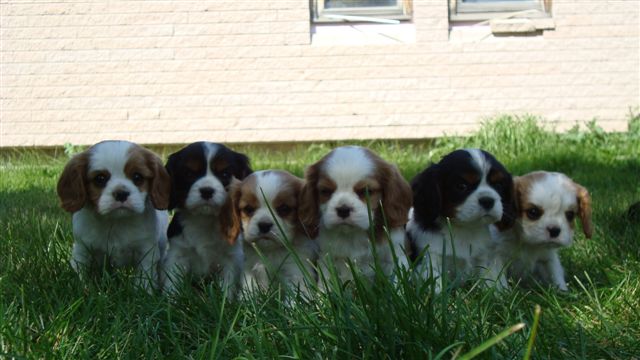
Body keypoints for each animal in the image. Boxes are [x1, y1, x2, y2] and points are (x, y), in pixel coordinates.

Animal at [56, 140, 171, 290]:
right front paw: (83, 288)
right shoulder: (82, 249)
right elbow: (80, 272)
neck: (116, 221)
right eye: (100, 179)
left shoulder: (146, 251)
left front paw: (144, 292)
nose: (121, 194)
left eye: (137, 177)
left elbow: (144, 277)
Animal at [161, 142, 251, 294]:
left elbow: (227, 285)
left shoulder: (232, 258)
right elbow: (171, 283)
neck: (204, 219)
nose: (207, 191)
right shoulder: (177, 253)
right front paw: (169, 299)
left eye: (225, 174)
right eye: (189, 173)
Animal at [298, 145, 412, 286]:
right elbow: (327, 285)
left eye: (366, 191)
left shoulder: (395, 255)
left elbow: (398, 282)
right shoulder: (327, 258)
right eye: (325, 191)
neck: (353, 234)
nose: (343, 209)